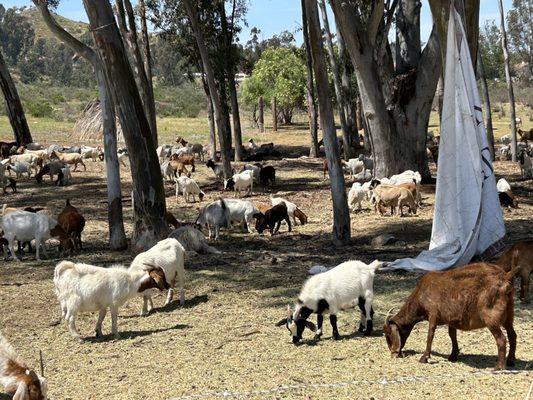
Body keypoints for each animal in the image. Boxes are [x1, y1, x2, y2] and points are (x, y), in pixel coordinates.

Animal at [382, 264, 516, 370]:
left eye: (388, 334)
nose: (393, 353)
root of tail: (505, 277)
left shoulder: (433, 314)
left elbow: (430, 334)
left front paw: (424, 357)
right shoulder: (452, 319)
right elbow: (452, 335)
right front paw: (453, 355)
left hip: (491, 317)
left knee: (501, 339)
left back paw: (499, 366)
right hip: (509, 314)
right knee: (512, 335)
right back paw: (510, 360)